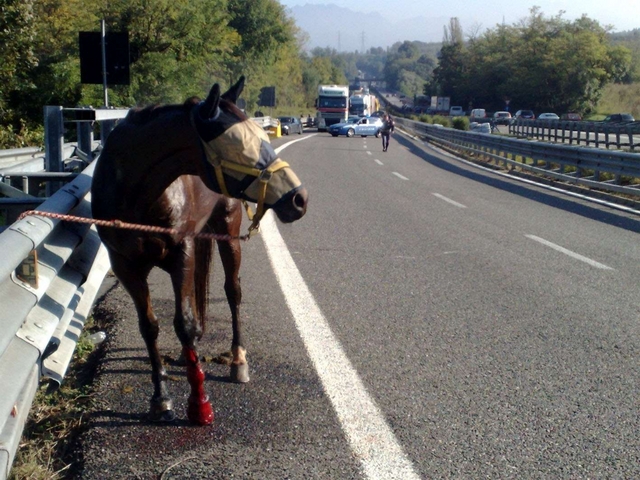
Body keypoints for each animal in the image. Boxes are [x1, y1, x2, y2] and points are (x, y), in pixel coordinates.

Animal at [91, 77, 308, 426]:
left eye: (264, 137)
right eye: (241, 147)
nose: (299, 199)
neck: (133, 192)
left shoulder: (182, 252)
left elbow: (185, 324)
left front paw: (199, 403)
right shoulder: (126, 266)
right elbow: (150, 327)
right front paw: (161, 397)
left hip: (228, 234)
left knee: (232, 292)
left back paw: (238, 360)